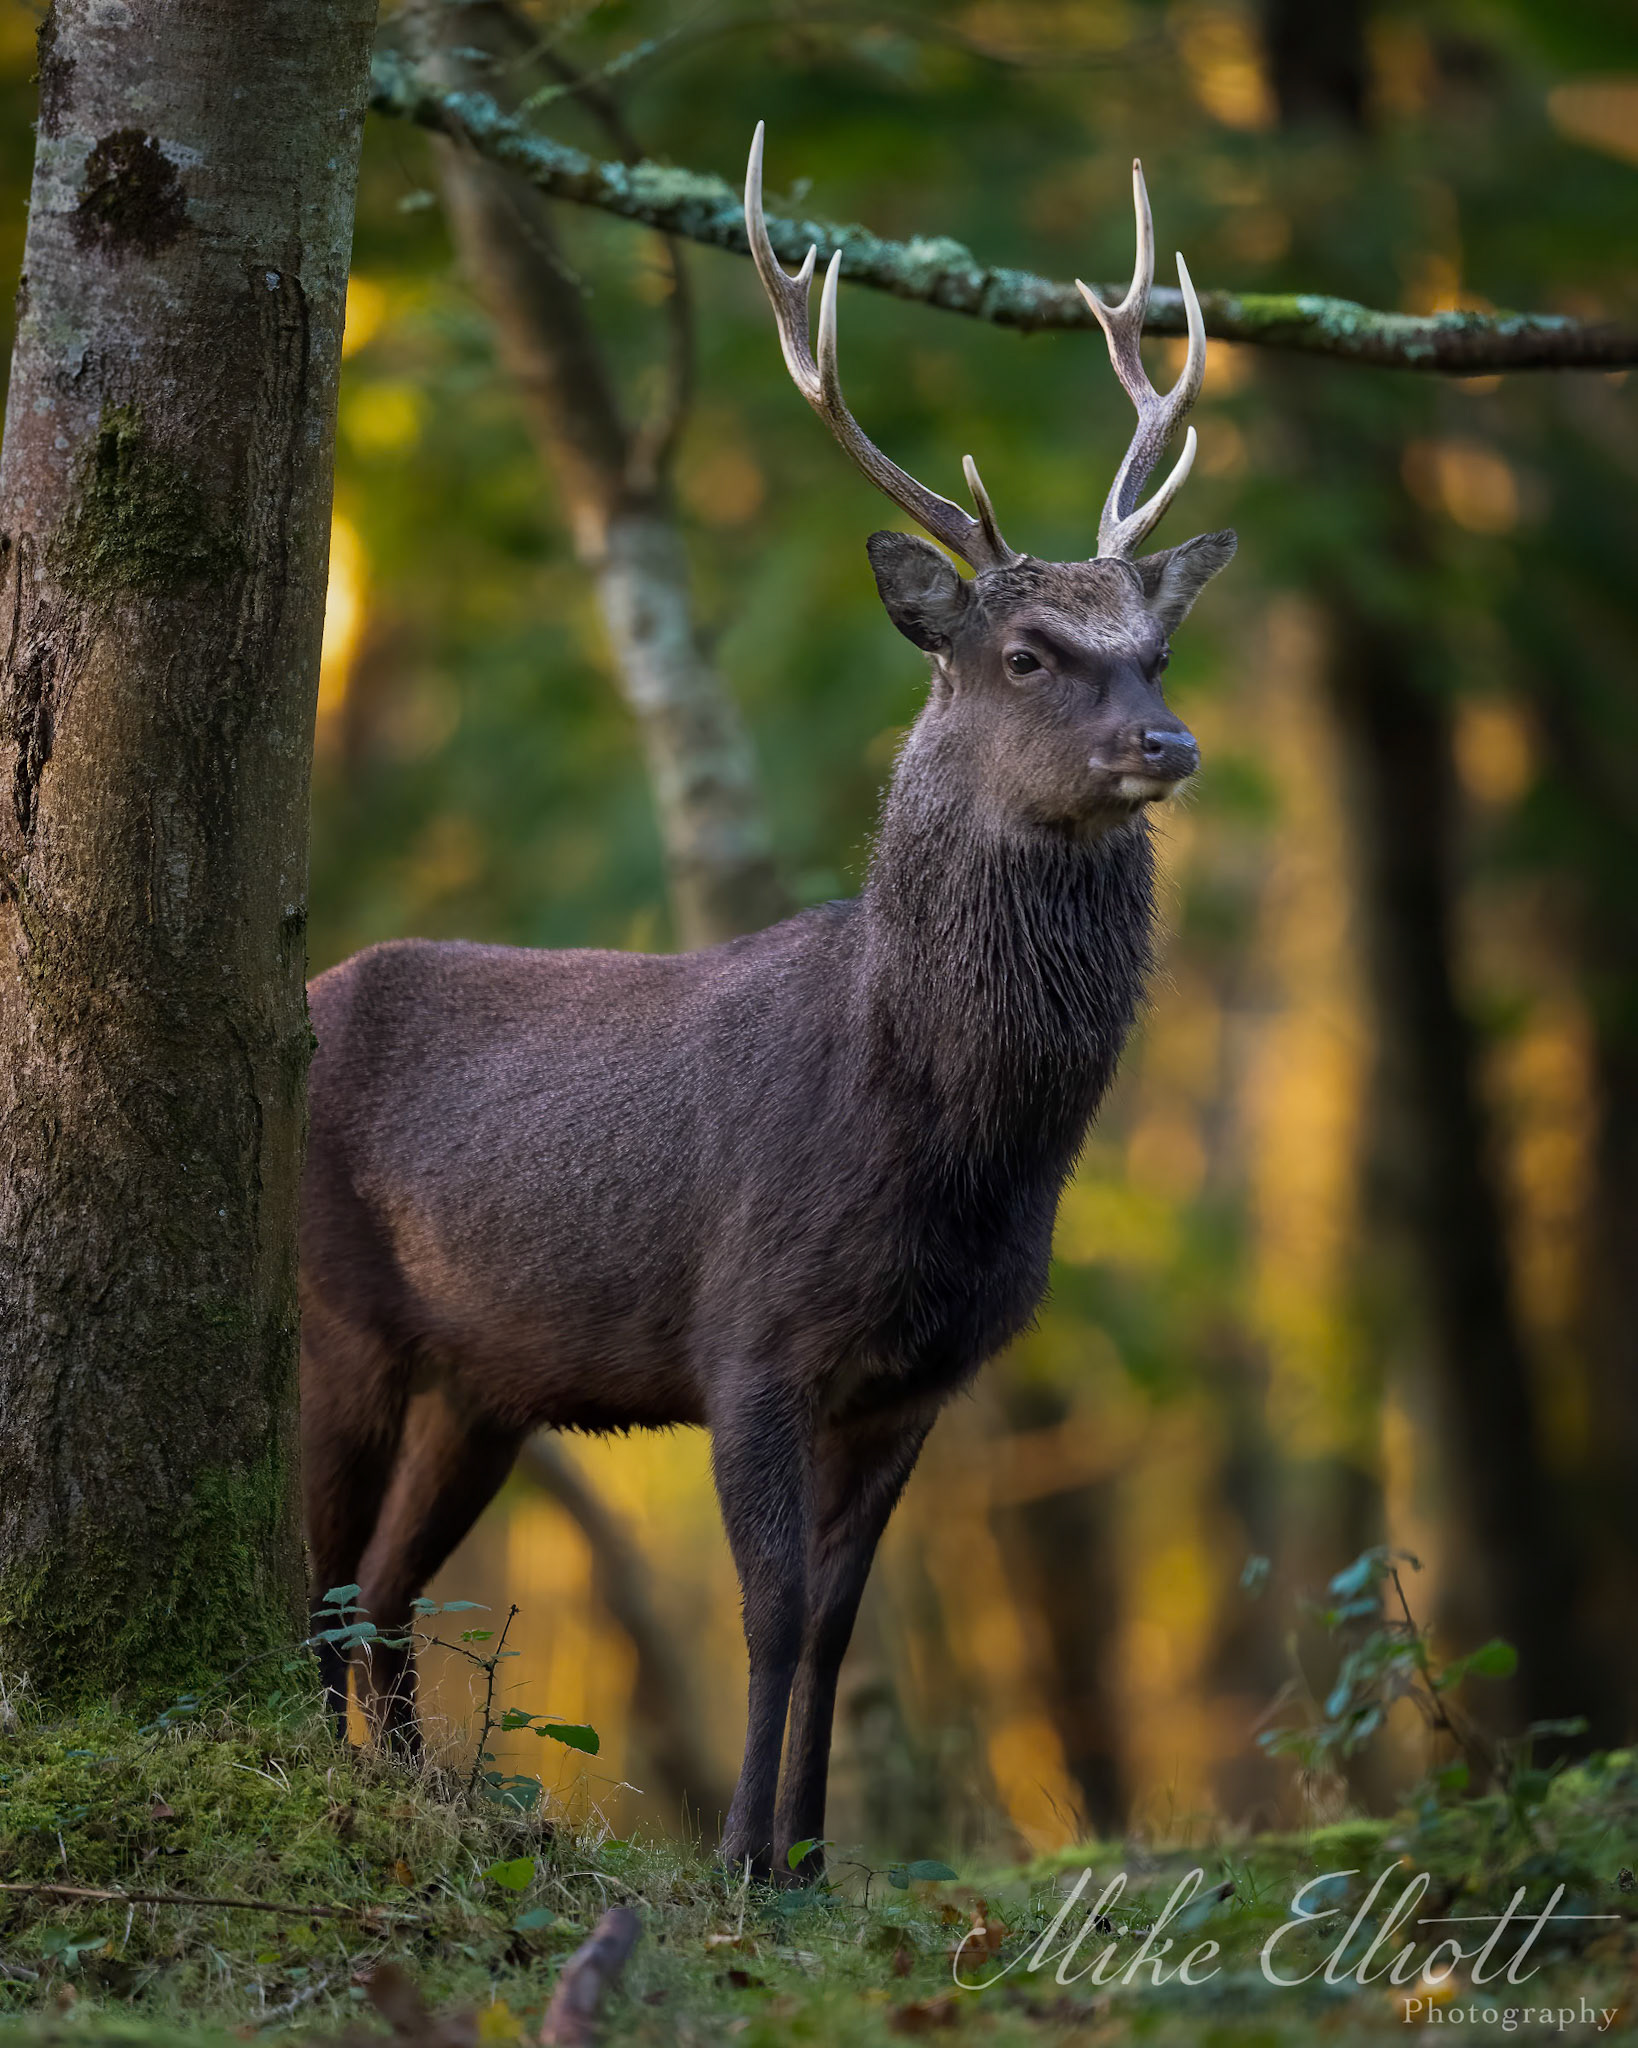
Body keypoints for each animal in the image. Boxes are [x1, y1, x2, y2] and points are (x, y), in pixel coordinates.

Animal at [298, 129, 1235, 1880]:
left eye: (1153, 644)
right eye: (1026, 651)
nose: (1168, 742)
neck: (936, 1138)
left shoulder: (923, 1374)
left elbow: (846, 1621)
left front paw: (806, 1862)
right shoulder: (747, 1336)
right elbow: (777, 1609)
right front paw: (738, 1858)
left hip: (483, 1378)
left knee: (384, 1589)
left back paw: (414, 1793)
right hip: (335, 1311)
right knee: (322, 1573)